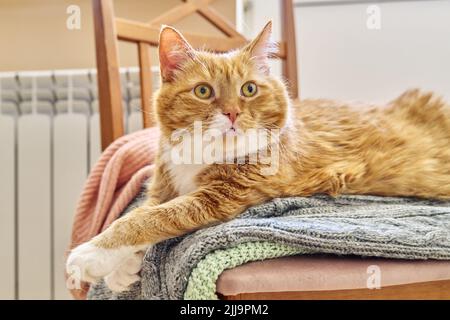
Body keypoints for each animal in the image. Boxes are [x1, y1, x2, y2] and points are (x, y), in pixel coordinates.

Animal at [67, 21, 450, 292]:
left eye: (249, 89)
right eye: (203, 91)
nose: (233, 113)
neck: (204, 152)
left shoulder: (222, 196)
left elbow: (151, 218)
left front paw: (91, 255)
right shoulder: (164, 185)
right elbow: (143, 211)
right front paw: (121, 267)